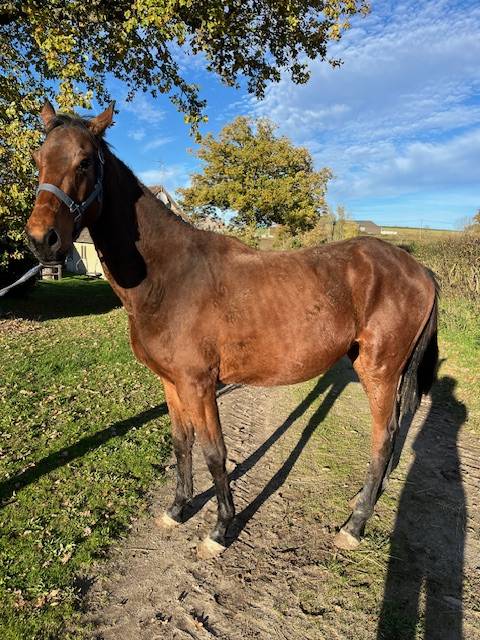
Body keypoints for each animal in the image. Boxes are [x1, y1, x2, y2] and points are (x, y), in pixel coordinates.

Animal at [25, 101, 438, 557]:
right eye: (38, 158)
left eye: (84, 161)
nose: (41, 240)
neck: (170, 276)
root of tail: (420, 270)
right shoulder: (172, 382)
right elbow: (182, 443)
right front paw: (177, 509)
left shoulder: (200, 384)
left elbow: (214, 452)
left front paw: (221, 529)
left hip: (378, 372)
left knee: (384, 439)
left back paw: (355, 523)